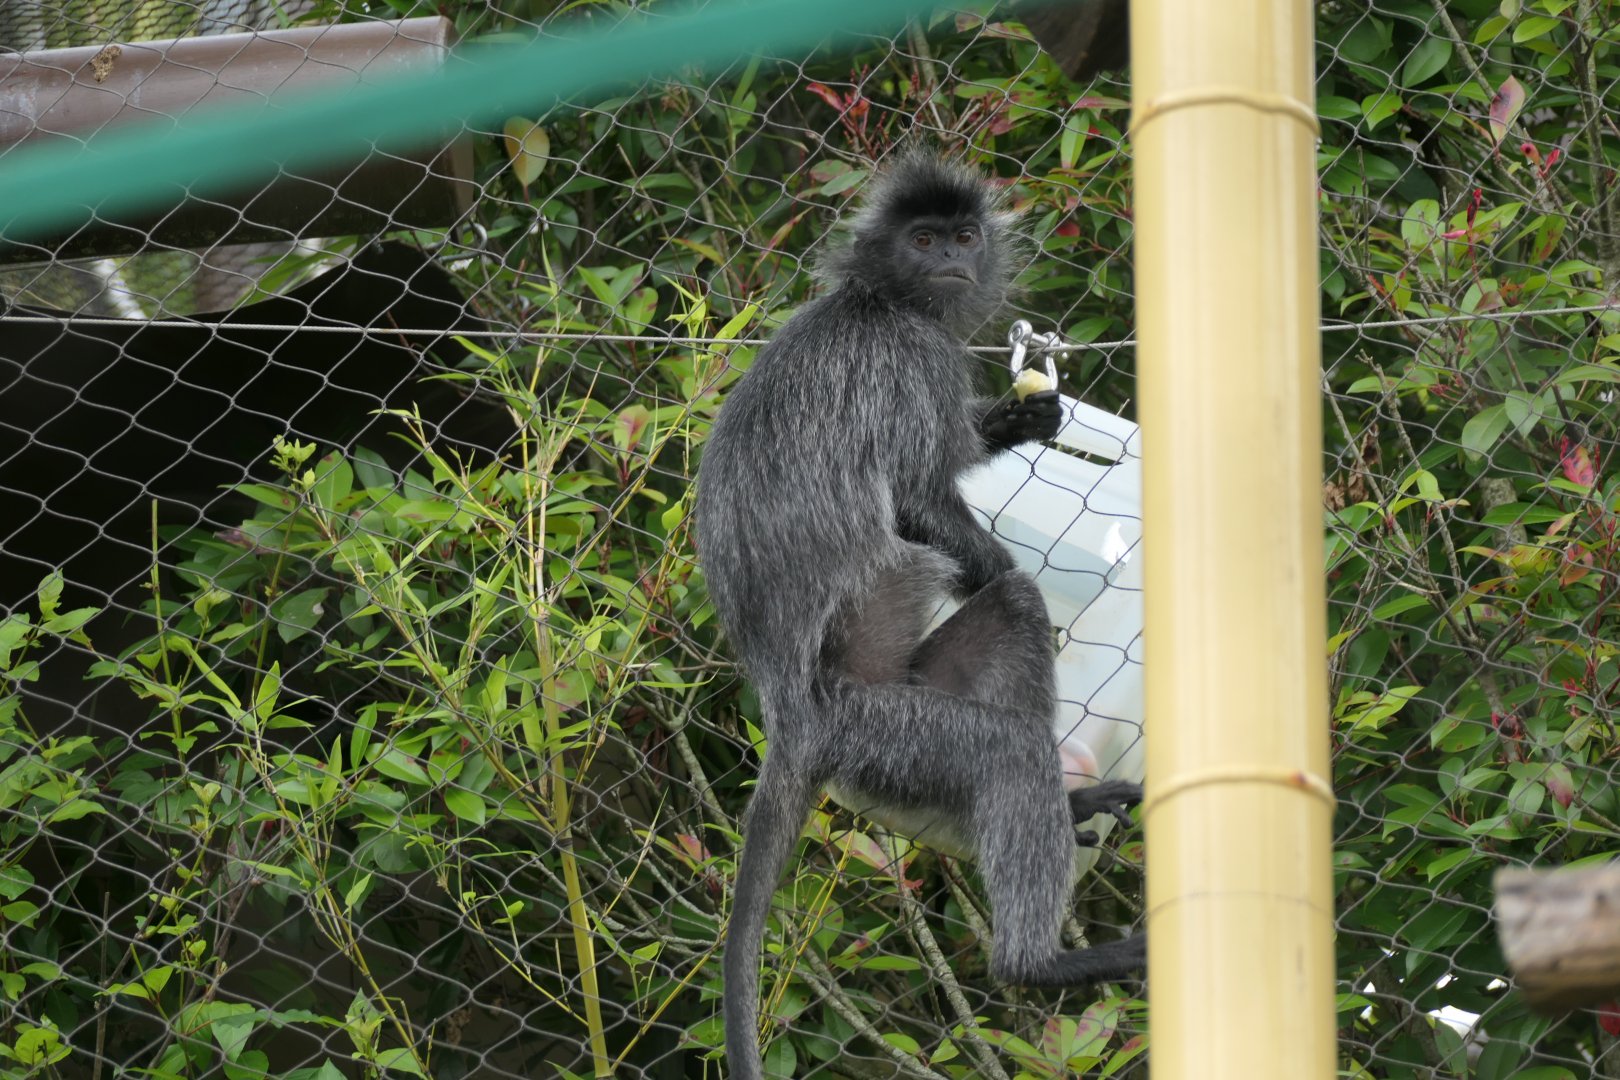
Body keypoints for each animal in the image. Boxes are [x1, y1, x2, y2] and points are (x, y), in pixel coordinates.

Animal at [693, 150, 1145, 1080]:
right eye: (924, 240)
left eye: (964, 237)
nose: (950, 260)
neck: (880, 299)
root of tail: (792, 716)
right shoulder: (909, 361)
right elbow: (913, 501)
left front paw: (1018, 417)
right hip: (881, 727)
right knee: (1006, 719)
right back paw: (1039, 961)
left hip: (899, 730)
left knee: (1007, 626)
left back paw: (1072, 802)